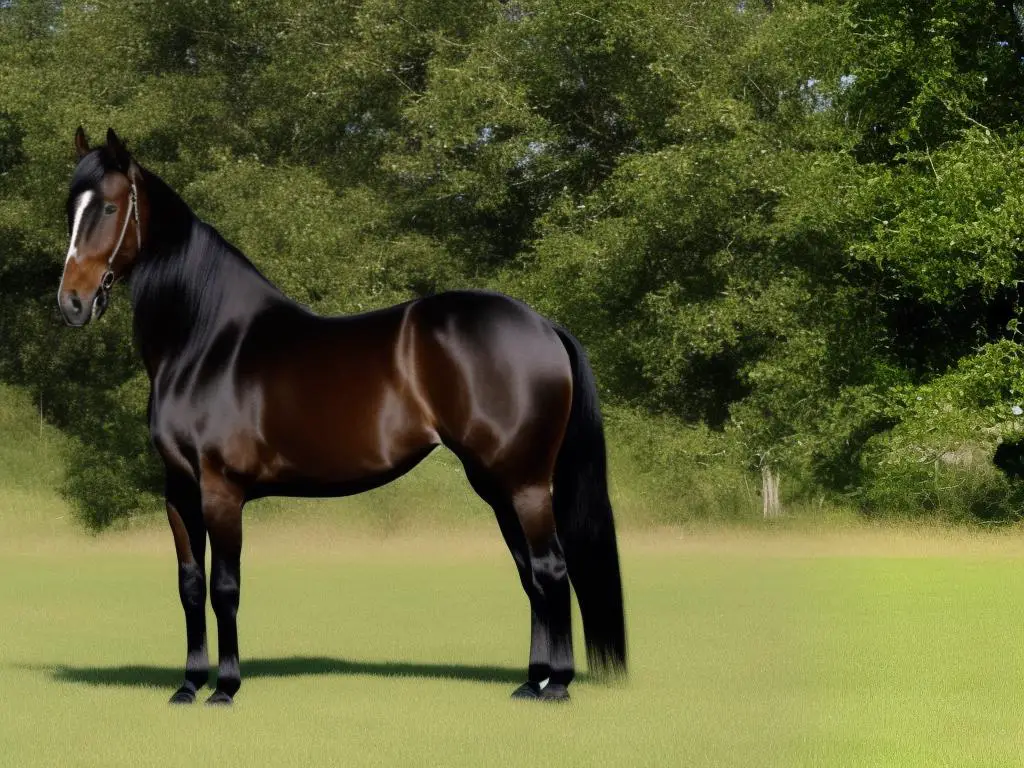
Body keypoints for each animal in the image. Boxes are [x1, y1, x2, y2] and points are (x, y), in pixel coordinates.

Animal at [59, 128, 626, 708]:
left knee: (552, 570)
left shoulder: (221, 490)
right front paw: (188, 685)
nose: (73, 302)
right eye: (70, 208)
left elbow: (225, 587)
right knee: (530, 574)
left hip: (525, 482)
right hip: (496, 484)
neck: (207, 342)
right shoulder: (178, 490)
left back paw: (557, 685)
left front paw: (226, 688)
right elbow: (190, 586)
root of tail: (544, 325)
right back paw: (532, 682)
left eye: (109, 206)